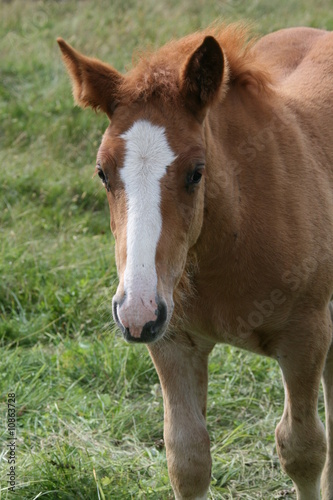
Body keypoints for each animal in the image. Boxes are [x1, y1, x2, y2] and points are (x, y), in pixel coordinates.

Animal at [58, 23, 332, 500]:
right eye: (102, 172)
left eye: (196, 172)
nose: (136, 310)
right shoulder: (172, 341)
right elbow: (187, 459)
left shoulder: (306, 336)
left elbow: (303, 448)